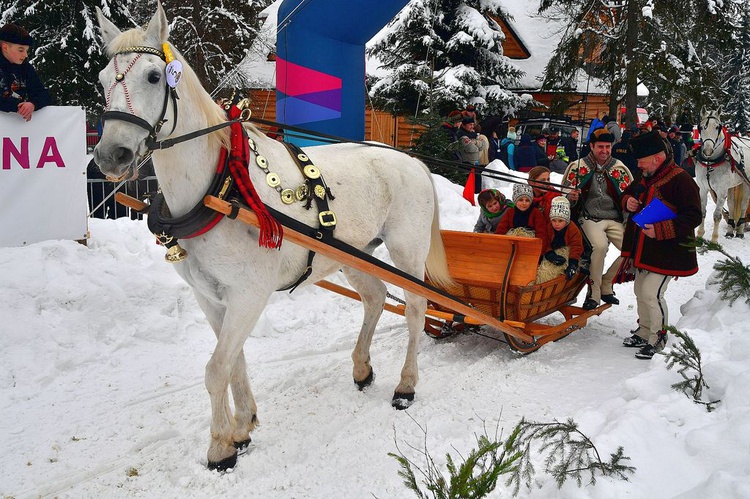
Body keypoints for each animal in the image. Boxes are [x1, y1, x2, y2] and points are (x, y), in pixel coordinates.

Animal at [96, 2, 452, 472]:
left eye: (155, 76)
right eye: (102, 79)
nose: (109, 156)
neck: (220, 187)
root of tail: (413, 161)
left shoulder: (249, 293)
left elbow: (216, 369)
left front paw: (220, 448)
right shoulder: (212, 298)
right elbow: (233, 362)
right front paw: (243, 426)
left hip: (407, 252)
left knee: (414, 308)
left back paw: (406, 385)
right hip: (354, 255)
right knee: (376, 299)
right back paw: (362, 369)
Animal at [692, 108, 750, 242]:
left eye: (717, 127)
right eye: (701, 127)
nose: (708, 151)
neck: (710, 162)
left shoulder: (721, 190)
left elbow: (717, 216)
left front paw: (714, 240)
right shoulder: (703, 189)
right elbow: (703, 212)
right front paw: (699, 235)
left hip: (745, 183)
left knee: (744, 204)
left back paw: (740, 230)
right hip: (733, 185)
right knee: (732, 204)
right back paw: (730, 230)